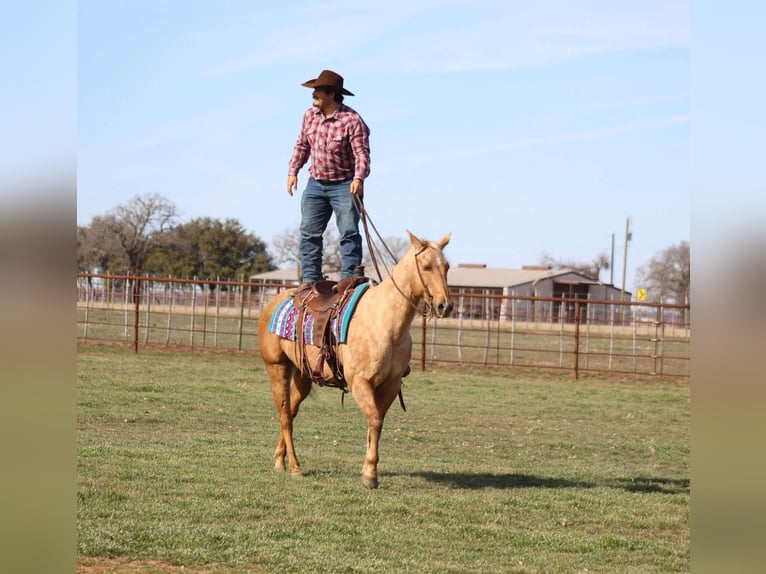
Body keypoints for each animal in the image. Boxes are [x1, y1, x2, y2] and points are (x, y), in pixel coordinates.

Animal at [258, 232, 452, 488]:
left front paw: (368, 470)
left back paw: (280, 460)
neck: (384, 321)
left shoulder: (390, 385)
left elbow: (376, 424)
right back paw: (295, 467)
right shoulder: (360, 382)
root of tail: (274, 301)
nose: (445, 305)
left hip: (302, 375)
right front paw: (370, 475)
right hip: (277, 367)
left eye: (447, 266)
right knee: (284, 416)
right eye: (427, 266)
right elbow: (375, 420)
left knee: (290, 411)